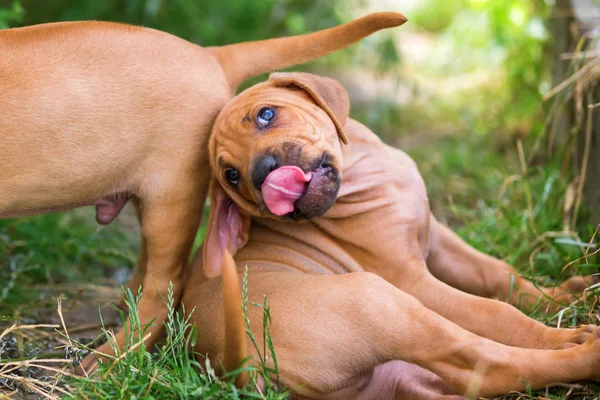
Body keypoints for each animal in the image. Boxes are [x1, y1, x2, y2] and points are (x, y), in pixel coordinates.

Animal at [183, 73, 600, 398]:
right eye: (231, 176)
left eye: (266, 114)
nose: (261, 173)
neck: (365, 173)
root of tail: (238, 367)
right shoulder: (414, 282)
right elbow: (497, 312)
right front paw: (553, 325)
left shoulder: (438, 240)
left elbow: (497, 273)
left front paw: (562, 294)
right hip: (379, 300)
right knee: (485, 364)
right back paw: (584, 352)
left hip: (399, 379)